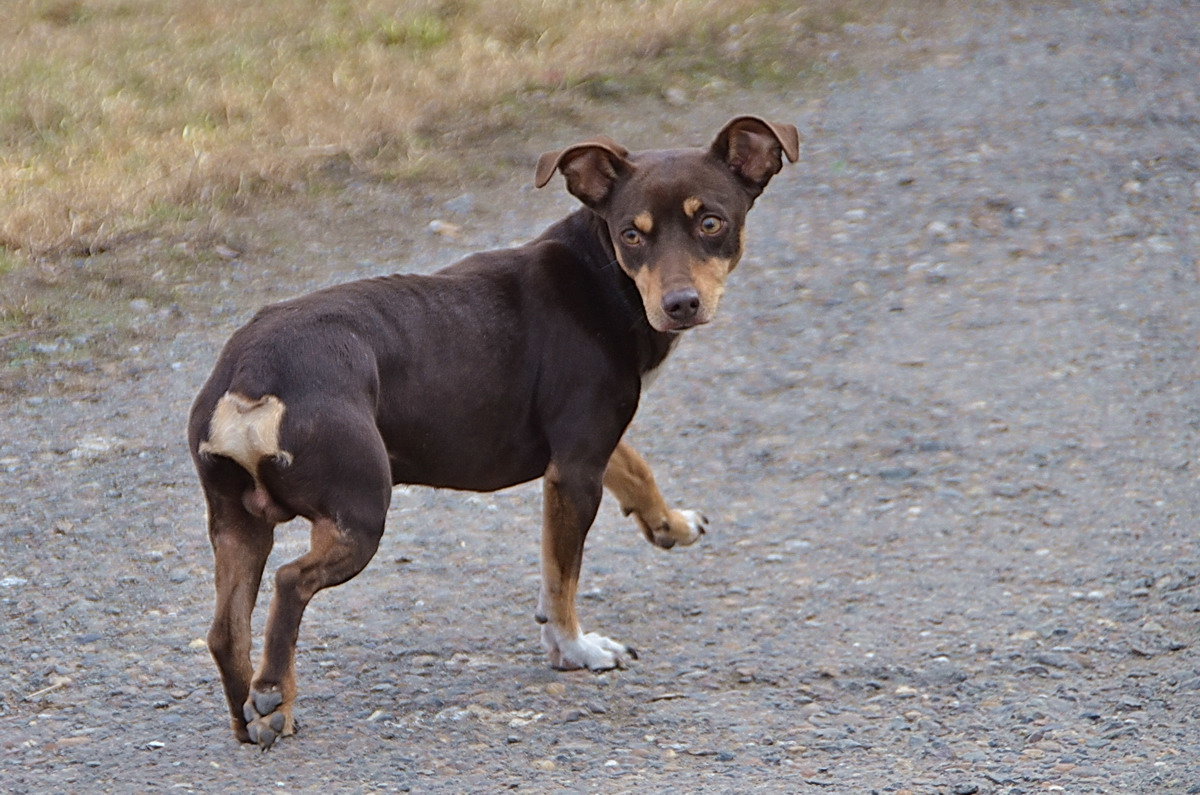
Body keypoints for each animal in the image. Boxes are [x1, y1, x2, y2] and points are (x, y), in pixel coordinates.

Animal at [189, 115, 796, 749]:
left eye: (711, 222)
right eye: (632, 234)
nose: (681, 304)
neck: (601, 274)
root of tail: (254, 373)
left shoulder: (583, 445)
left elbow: (631, 467)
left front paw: (669, 523)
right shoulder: (576, 471)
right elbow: (563, 578)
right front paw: (576, 650)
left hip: (238, 524)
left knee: (225, 632)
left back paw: (249, 716)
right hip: (358, 515)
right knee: (289, 584)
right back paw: (274, 696)